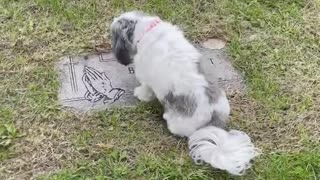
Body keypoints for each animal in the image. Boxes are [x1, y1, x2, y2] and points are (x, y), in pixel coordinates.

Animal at [111, 11, 258, 176]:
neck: (148, 29)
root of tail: (212, 118)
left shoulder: (145, 78)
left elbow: (145, 89)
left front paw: (140, 95)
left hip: (177, 124)